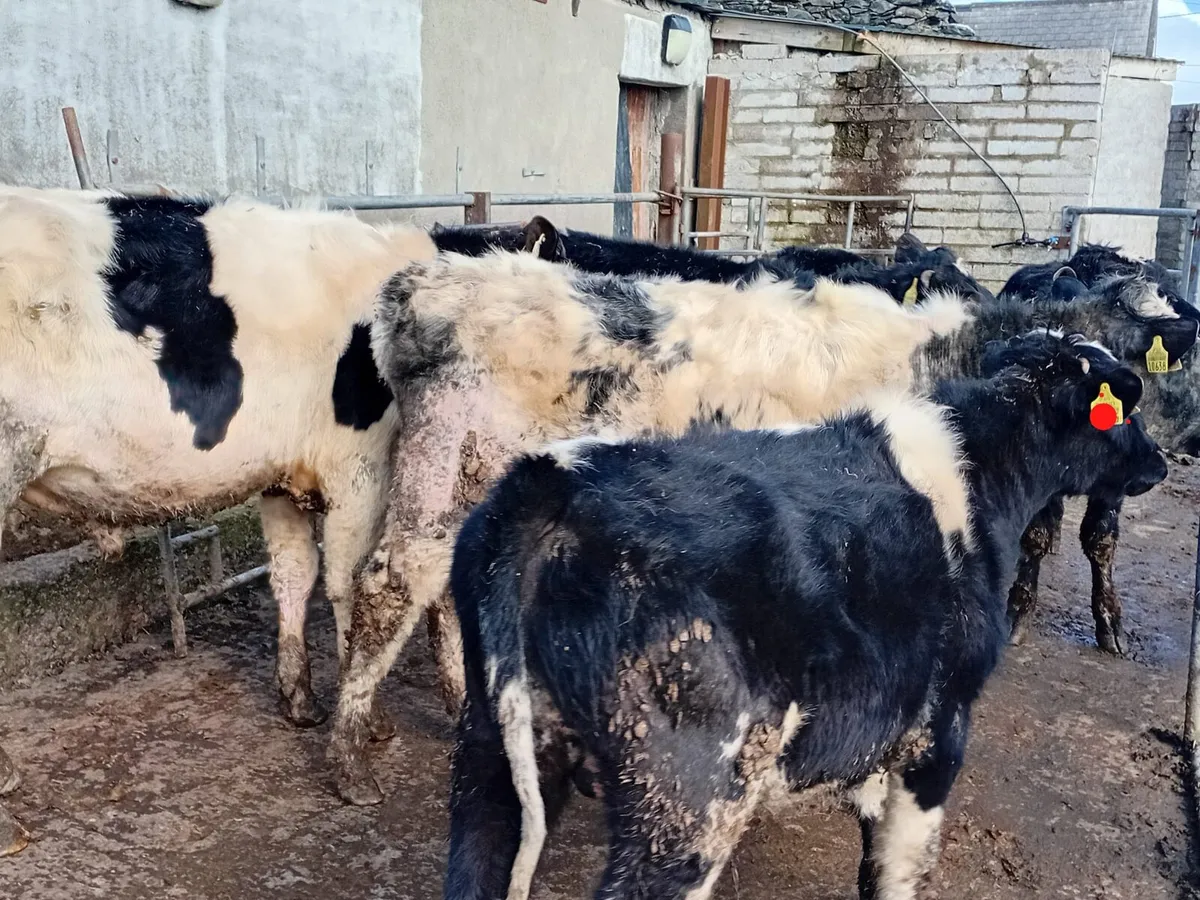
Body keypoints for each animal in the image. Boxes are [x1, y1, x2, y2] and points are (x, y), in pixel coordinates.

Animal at [0, 186, 437, 853]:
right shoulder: (360, 461)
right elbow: (347, 585)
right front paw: (370, 723)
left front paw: (301, 701)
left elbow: (294, 575)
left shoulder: (283, 473)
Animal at [444, 331, 1167, 900]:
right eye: (1125, 412)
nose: (1160, 462)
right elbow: (897, 874)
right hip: (688, 800)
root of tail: (556, 478)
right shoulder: (939, 731)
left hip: (491, 758)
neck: (984, 479)